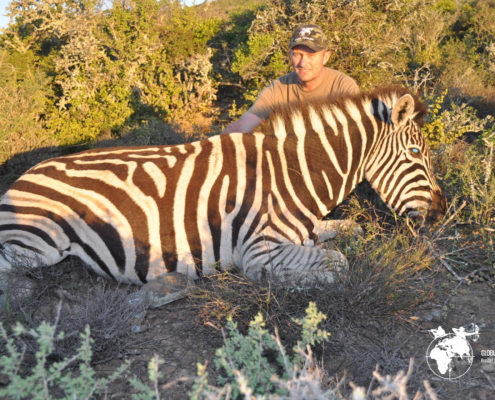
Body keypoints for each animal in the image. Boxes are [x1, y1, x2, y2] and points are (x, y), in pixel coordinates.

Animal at [0, 86, 450, 286]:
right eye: (416, 153)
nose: (441, 212)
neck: (292, 175)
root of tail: (23, 175)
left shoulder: (302, 231)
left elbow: (350, 231)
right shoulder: (258, 251)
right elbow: (338, 263)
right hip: (38, 247)